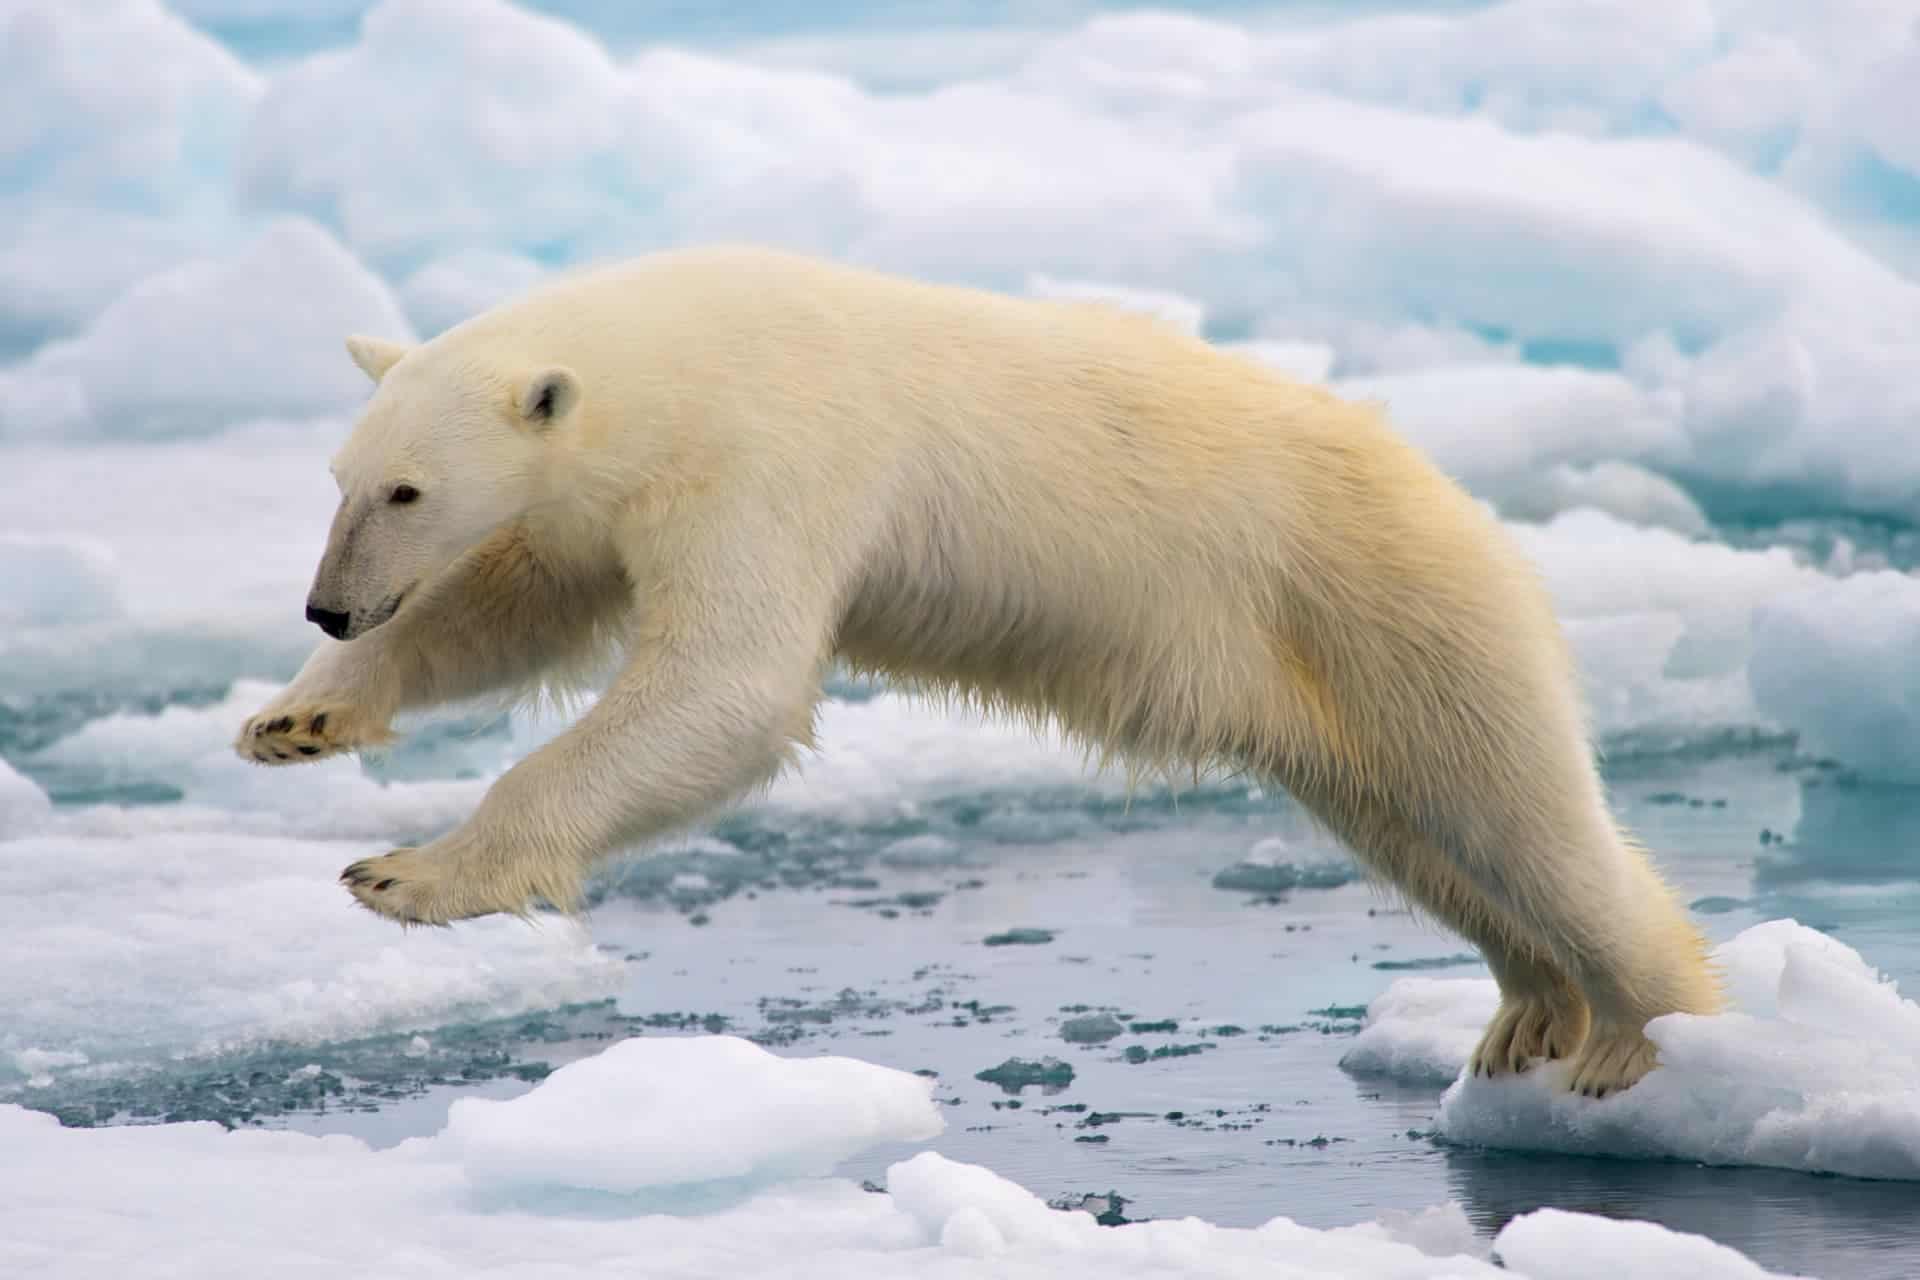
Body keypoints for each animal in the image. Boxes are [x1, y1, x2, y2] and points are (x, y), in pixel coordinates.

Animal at [236, 244, 1721, 1097]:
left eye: (407, 489)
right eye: (341, 477)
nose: (326, 603)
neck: (686, 354)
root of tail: (1462, 503)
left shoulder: (774, 456)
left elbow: (726, 683)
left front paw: (408, 873)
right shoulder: (613, 500)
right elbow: (516, 605)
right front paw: (297, 718)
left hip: (1388, 604)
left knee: (1520, 813)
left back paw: (1639, 1036)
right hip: (1324, 682)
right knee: (1421, 832)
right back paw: (1527, 1012)